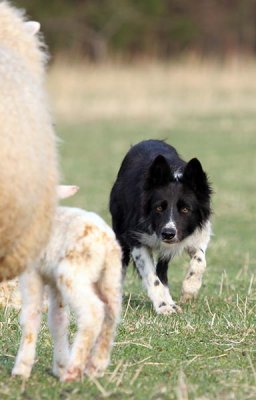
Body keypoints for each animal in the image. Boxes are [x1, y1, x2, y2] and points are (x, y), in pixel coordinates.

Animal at [12, 187, 122, 382]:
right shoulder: (54, 284)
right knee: (112, 312)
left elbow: (31, 316)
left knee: (93, 312)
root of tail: (105, 242)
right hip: (110, 277)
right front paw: (60, 365)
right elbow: (58, 320)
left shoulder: (31, 274)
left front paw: (21, 369)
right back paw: (96, 366)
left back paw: (73, 370)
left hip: (73, 274)